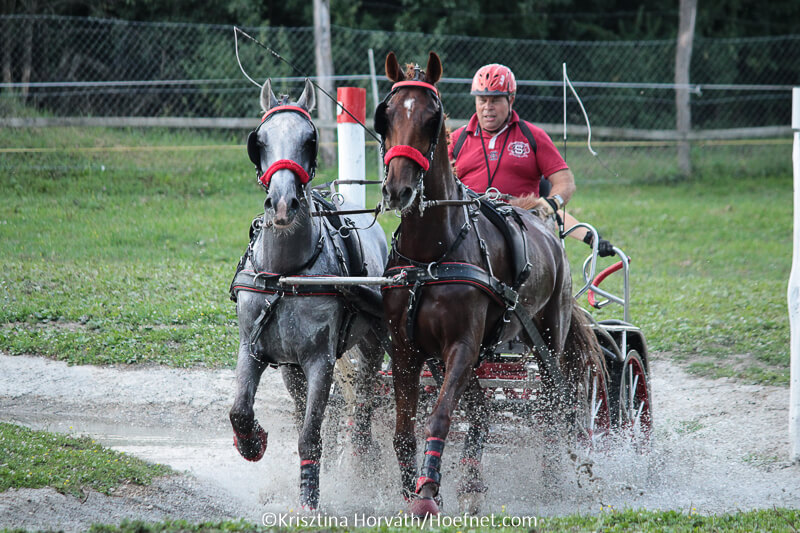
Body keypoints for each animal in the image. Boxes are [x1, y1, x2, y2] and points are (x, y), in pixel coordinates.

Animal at [228, 78, 388, 510]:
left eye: (309, 139)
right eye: (260, 140)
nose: (283, 204)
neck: (285, 275)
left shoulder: (321, 360)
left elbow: (309, 434)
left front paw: (309, 498)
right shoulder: (253, 348)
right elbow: (240, 410)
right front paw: (252, 442)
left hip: (373, 344)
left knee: (363, 404)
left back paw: (362, 463)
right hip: (291, 367)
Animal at [376, 52, 604, 516]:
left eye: (432, 118)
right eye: (385, 115)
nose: (399, 189)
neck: (430, 256)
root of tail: (542, 223)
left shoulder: (462, 346)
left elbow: (441, 416)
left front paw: (427, 493)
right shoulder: (406, 350)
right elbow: (404, 430)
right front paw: (411, 491)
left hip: (548, 339)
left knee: (554, 407)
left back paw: (551, 479)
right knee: (481, 412)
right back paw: (472, 482)